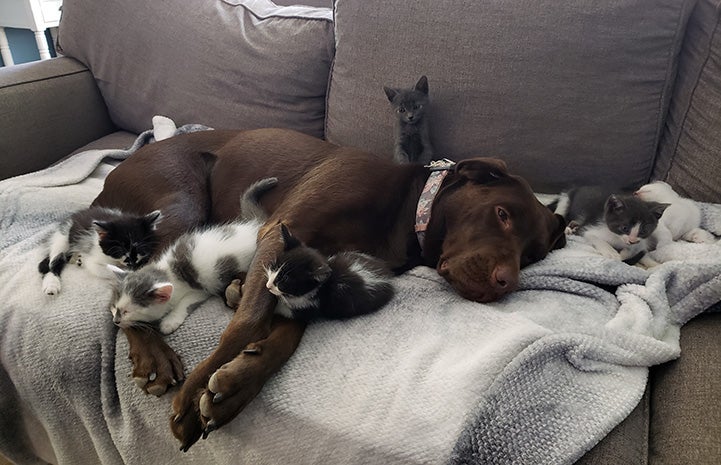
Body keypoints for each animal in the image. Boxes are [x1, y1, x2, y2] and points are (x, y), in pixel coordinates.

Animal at [108, 178, 278, 334]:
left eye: (127, 311)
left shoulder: (200, 290)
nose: (116, 321)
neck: (168, 271)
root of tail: (258, 227)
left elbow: (186, 303)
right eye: (115, 306)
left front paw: (169, 322)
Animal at [262, 223, 394, 320]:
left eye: (285, 280)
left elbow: (289, 312)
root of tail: (386, 276)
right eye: (274, 266)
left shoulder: (311, 307)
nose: (268, 285)